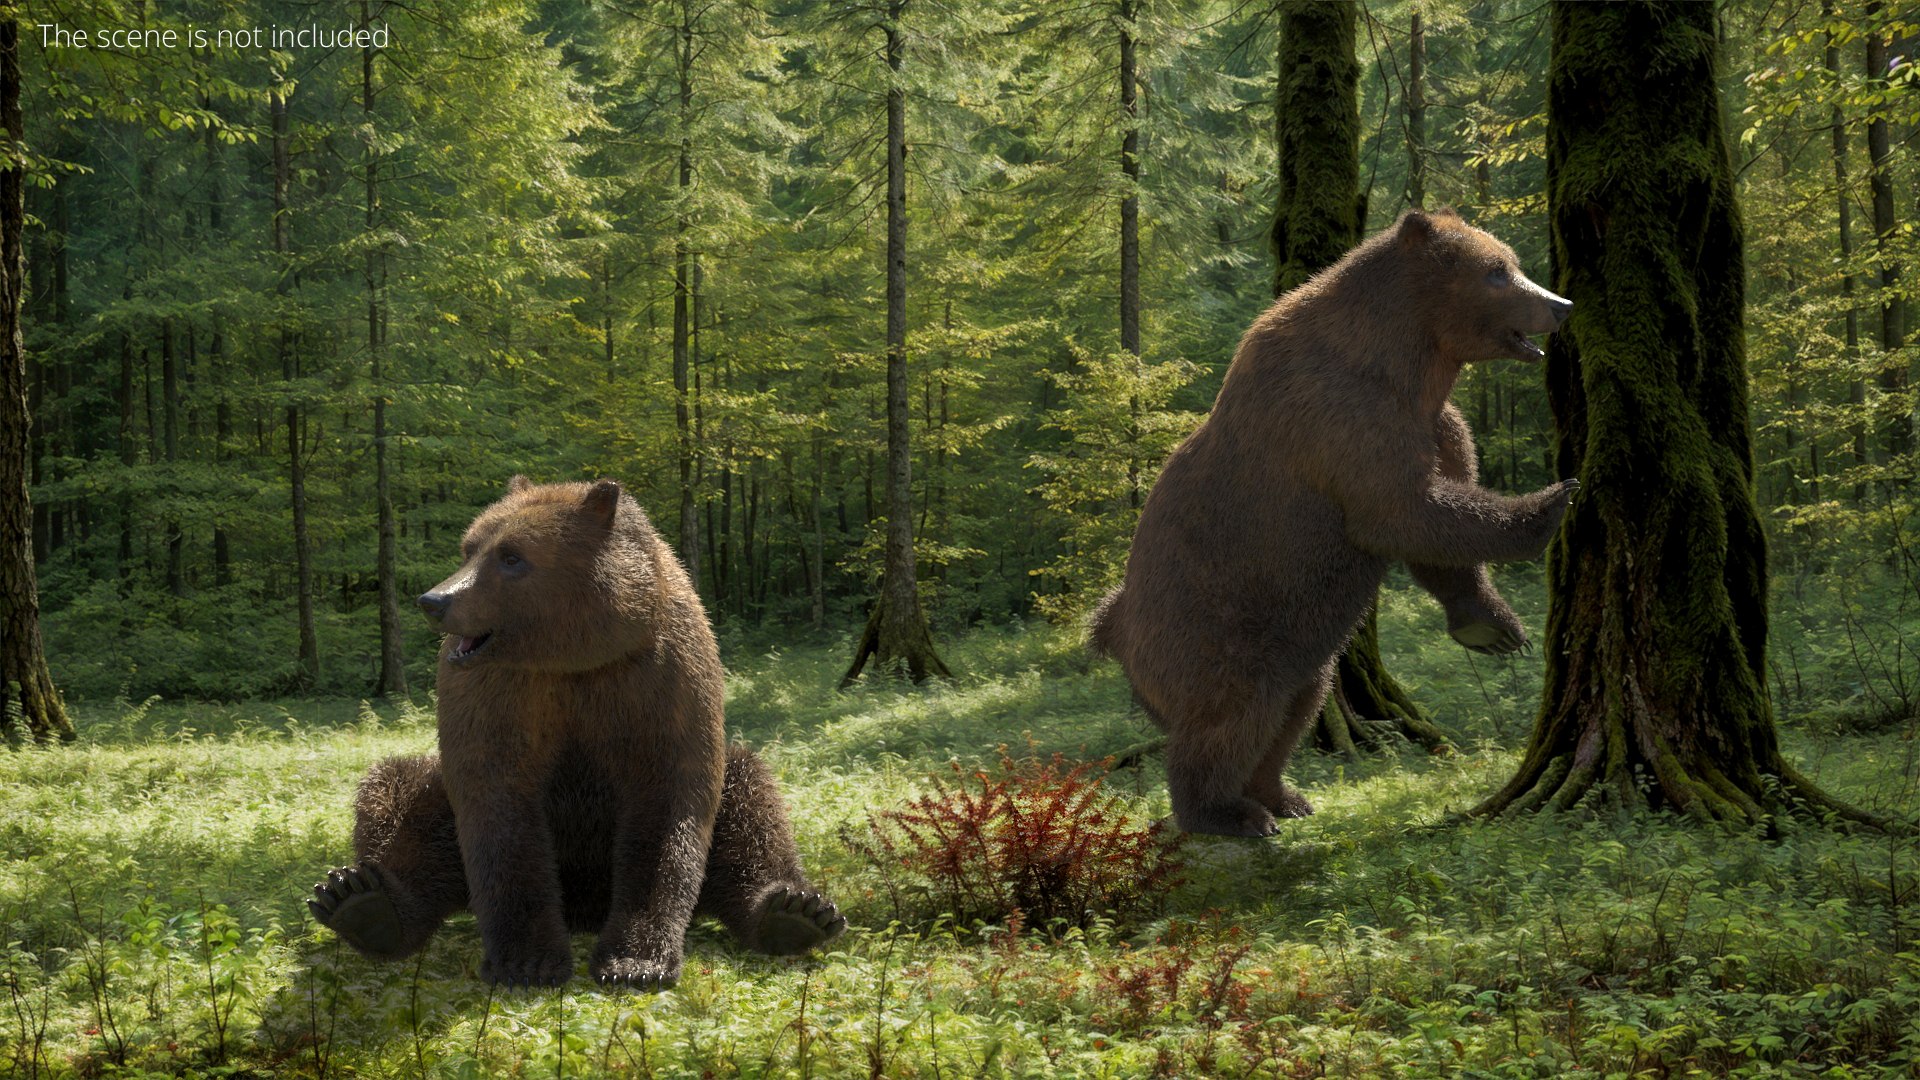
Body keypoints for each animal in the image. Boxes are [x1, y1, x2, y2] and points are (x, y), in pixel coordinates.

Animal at [306, 476, 845, 989]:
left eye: (512, 557)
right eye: (469, 546)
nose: (434, 600)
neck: (573, 659)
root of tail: (585, 912)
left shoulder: (661, 676)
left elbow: (668, 803)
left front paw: (635, 962)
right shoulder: (498, 691)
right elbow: (496, 800)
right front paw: (527, 961)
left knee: (752, 799)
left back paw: (794, 912)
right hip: (435, 799)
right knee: (397, 792)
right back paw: (362, 901)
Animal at [1088, 208, 1577, 838]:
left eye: (1510, 261)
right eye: (1496, 271)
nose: (1560, 303)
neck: (1409, 364)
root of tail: (1114, 631)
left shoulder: (1436, 424)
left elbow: (1435, 531)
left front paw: (1492, 628)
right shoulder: (1341, 419)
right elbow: (1401, 512)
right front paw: (1551, 502)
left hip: (1294, 644)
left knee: (1297, 706)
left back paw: (1282, 795)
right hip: (1214, 630)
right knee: (1229, 717)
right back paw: (1227, 813)